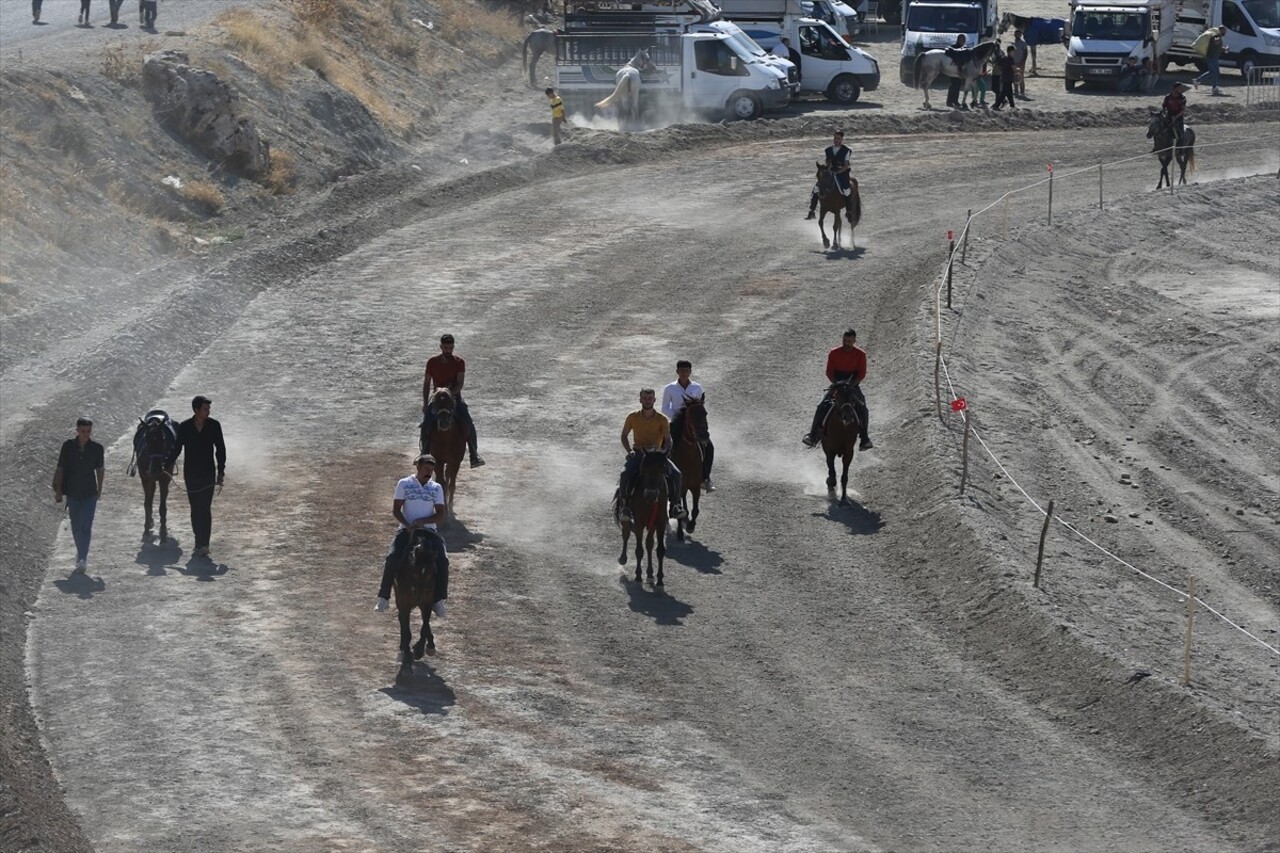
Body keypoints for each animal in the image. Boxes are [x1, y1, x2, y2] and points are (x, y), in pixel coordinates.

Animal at [129, 409, 175, 537]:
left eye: (163, 439)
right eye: (147, 440)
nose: (156, 468)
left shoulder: (164, 479)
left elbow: (162, 507)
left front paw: (163, 531)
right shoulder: (145, 477)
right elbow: (147, 503)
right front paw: (146, 527)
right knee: (151, 495)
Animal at [389, 527, 440, 676]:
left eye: (432, 571)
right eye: (414, 570)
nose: (419, 596)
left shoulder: (427, 603)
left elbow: (425, 626)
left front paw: (420, 649)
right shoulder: (405, 604)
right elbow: (407, 629)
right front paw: (407, 657)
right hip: (399, 599)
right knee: (402, 620)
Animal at [419, 389, 465, 522]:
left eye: (450, 403)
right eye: (435, 403)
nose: (444, 423)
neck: (446, 439)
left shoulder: (456, 462)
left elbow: (451, 485)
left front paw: (450, 511)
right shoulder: (438, 461)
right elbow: (442, 483)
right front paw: (444, 513)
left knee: (448, 476)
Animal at [616, 445, 670, 584]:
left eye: (663, 468)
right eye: (644, 467)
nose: (651, 494)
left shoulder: (659, 522)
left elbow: (659, 549)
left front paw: (659, 578)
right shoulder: (639, 522)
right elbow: (639, 550)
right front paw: (638, 575)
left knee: (649, 544)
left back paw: (650, 573)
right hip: (627, 515)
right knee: (626, 533)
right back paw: (623, 558)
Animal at [670, 394, 711, 540]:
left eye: (705, 413)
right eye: (691, 416)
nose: (704, 436)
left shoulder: (695, 486)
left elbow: (695, 509)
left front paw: (691, 526)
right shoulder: (680, 486)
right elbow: (682, 508)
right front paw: (680, 533)